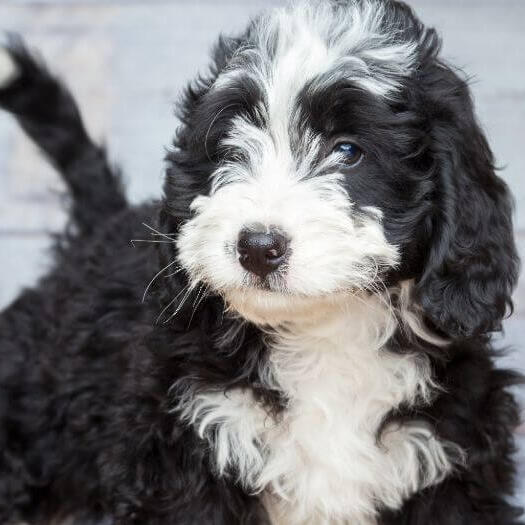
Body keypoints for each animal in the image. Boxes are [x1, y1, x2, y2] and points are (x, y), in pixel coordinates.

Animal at [0, 1, 520, 524]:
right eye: (231, 147)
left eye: (348, 151)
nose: (257, 247)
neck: (322, 335)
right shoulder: (182, 452)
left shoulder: (452, 459)